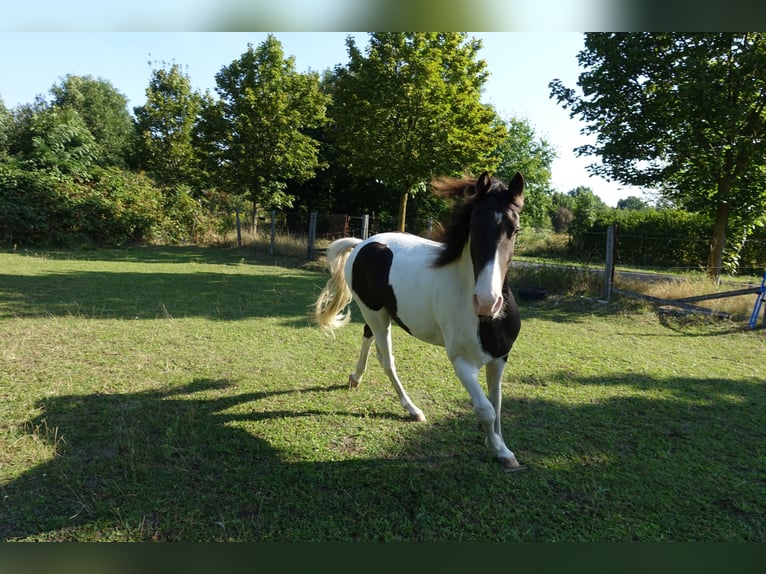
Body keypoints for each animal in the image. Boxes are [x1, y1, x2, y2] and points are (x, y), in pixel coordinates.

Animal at [312, 171, 525, 471]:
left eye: (515, 230)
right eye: (473, 227)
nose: (486, 302)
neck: (487, 322)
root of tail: (362, 244)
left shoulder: (500, 358)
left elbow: (497, 403)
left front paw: (499, 445)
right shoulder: (461, 362)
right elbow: (485, 409)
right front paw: (500, 450)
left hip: (377, 313)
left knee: (366, 336)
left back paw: (355, 378)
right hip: (377, 316)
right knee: (386, 360)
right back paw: (412, 410)